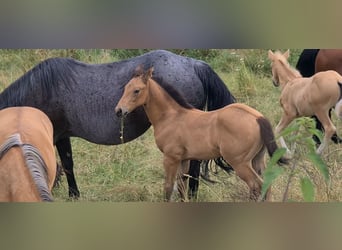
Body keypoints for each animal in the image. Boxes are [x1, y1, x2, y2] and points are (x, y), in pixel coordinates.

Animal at [0, 50, 235, 199]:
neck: (41, 89)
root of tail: (195, 65)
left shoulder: (56, 134)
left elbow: (66, 165)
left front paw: (73, 195)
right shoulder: (62, 136)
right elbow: (67, 164)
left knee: (192, 169)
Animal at [115, 66, 288, 201]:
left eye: (137, 90)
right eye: (125, 88)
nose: (119, 111)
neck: (171, 116)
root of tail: (257, 117)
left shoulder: (170, 158)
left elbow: (168, 188)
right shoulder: (184, 159)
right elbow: (182, 187)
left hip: (240, 163)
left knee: (256, 185)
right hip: (257, 159)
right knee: (267, 184)